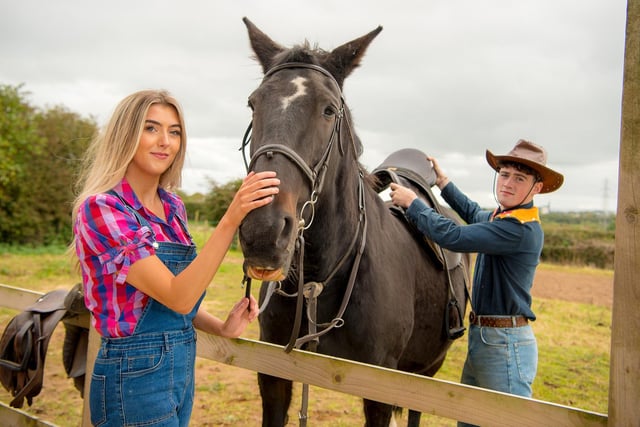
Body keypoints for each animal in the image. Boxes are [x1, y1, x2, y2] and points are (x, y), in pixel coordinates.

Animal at [239, 17, 470, 427]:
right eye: (254, 104)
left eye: (329, 110)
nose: (263, 232)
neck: (318, 280)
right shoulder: (273, 374)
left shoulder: (379, 389)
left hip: (426, 370)